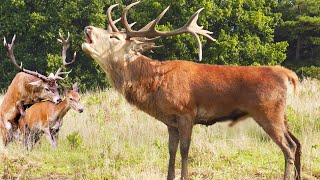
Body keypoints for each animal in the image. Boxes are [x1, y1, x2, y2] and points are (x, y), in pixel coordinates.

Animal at [82, 1, 300, 180]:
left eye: (114, 37)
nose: (87, 27)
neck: (154, 83)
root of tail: (288, 74)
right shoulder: (170, 121)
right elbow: (171, 149)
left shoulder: (186, 112)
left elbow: (185, 149)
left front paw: (184, 176)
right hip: (281, 113)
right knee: (296, 142)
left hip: (267, 111)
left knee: (288, 147)